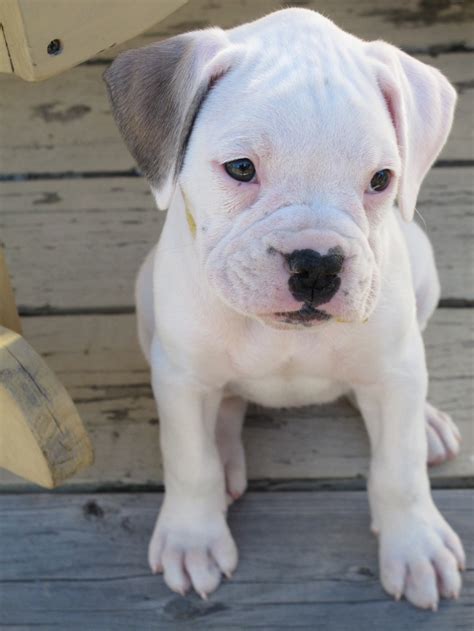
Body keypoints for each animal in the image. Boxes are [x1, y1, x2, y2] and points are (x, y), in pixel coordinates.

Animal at [103, 7, 462, 612]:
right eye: (241, 168)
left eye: (381, 180)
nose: (317, 265)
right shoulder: (180, 377)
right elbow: (189, 460)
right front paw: (192, 538)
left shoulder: (395, 369)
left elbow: (400, 466)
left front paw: (415, 545)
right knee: (223, 405)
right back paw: (225, 449)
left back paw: (429, 421)